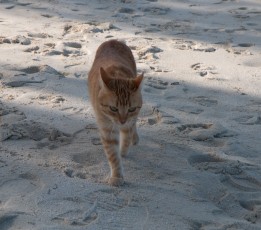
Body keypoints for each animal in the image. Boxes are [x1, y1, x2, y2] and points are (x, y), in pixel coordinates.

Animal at [88, 39, 143, 186]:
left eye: (131, 109)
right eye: (113, 108)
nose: (122, 121)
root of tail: (113, 40)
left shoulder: (131, 119)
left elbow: (127, 136)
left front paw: (123, 151)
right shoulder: (107, 128)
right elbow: (113, 155)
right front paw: (117, 176)